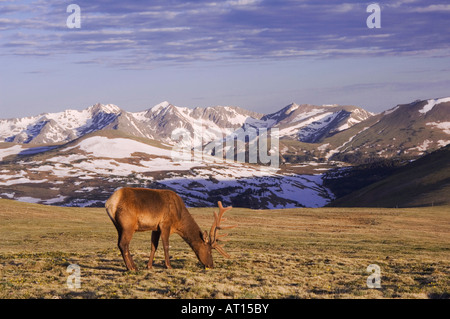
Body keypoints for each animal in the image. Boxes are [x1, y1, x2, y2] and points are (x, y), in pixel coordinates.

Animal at [104, 189, 236, 272]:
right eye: (209, 251)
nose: (211, 265)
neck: (179, 220)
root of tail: (109, 203)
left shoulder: (155, 228)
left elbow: (154, 246)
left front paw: (149, 266)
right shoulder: (165, 224)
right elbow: (166, 245)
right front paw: (169, 266)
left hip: (118, 226)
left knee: (120, 244)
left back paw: (129, 267)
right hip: (128, 224)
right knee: (123, 244)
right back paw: (133, 267)